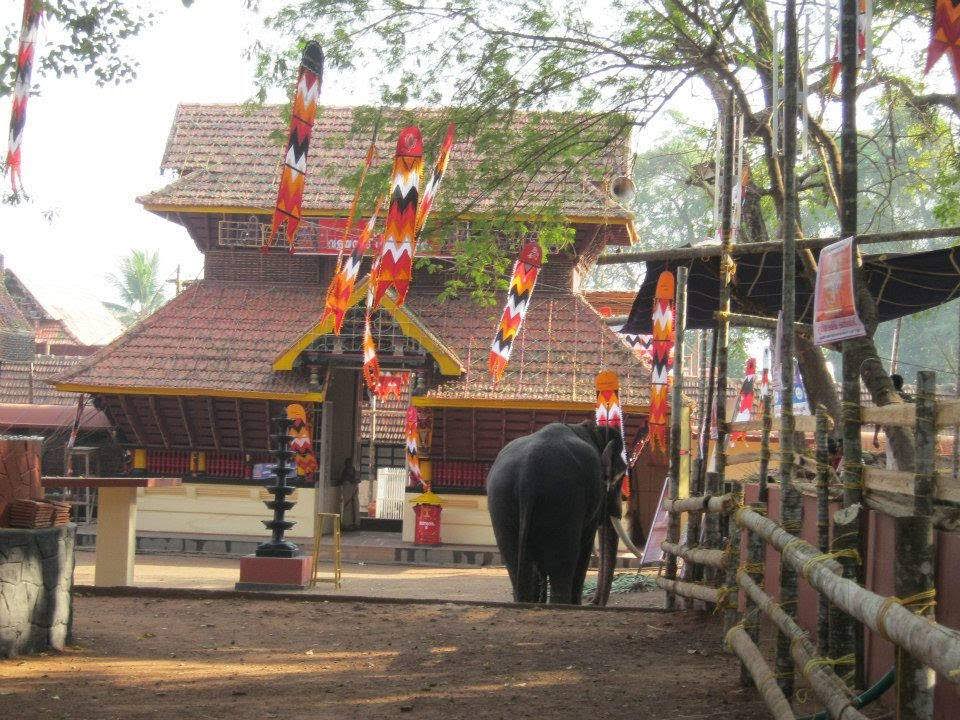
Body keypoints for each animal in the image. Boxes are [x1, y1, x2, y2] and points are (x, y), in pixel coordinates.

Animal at [488, 420, 644, 604]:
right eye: (618, 479)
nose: (593, 602)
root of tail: (527, 474)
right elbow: (585, 546)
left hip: (502, 501)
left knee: (516, 563)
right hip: (562, 501)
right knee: (563, 563)